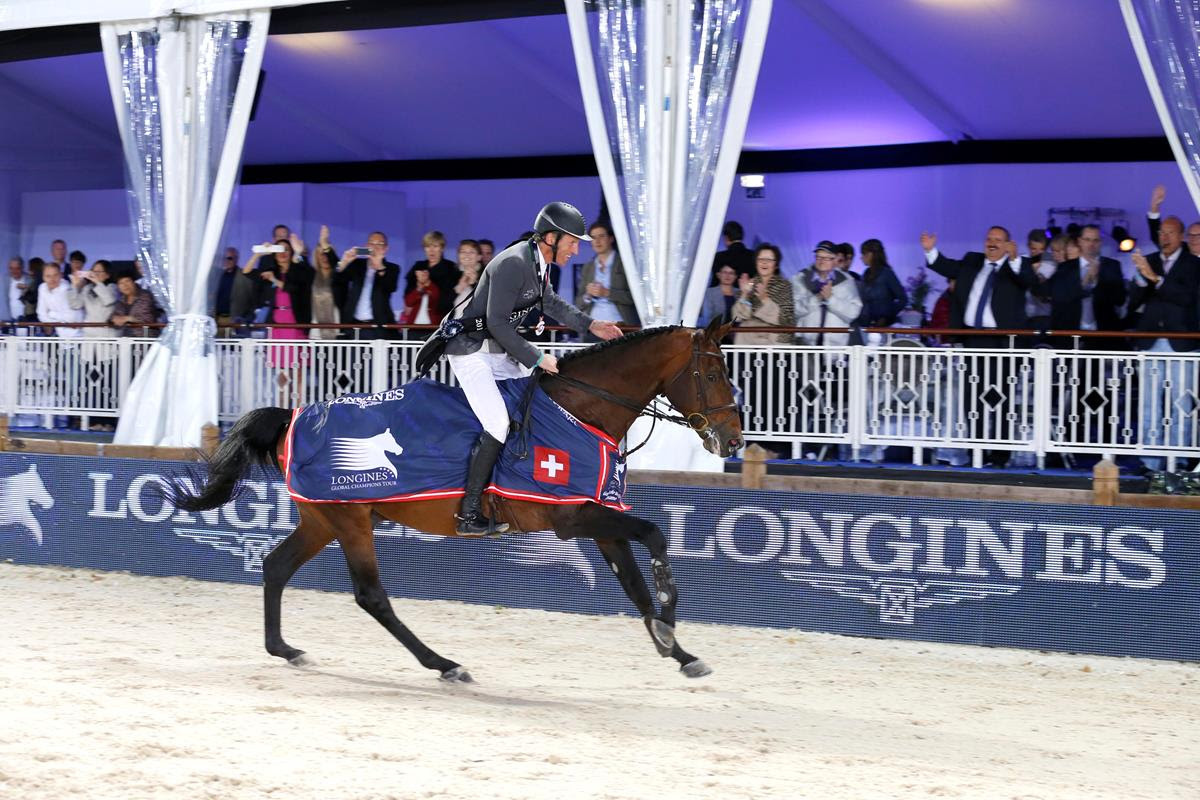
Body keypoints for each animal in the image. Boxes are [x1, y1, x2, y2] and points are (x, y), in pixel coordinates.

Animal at [164, 318, 743, 683]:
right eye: (713, 373)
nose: (733, 442)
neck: (580, 409)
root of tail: (295, 417)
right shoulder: (574, 517)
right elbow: (656, 535)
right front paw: (671, 612)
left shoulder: (599, 520)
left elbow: (636, 588)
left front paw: (678, 650)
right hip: (349, 520)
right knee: (370, 596)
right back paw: (444, 665)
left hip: (324, 520)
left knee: (276, 566)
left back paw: (286, 650)